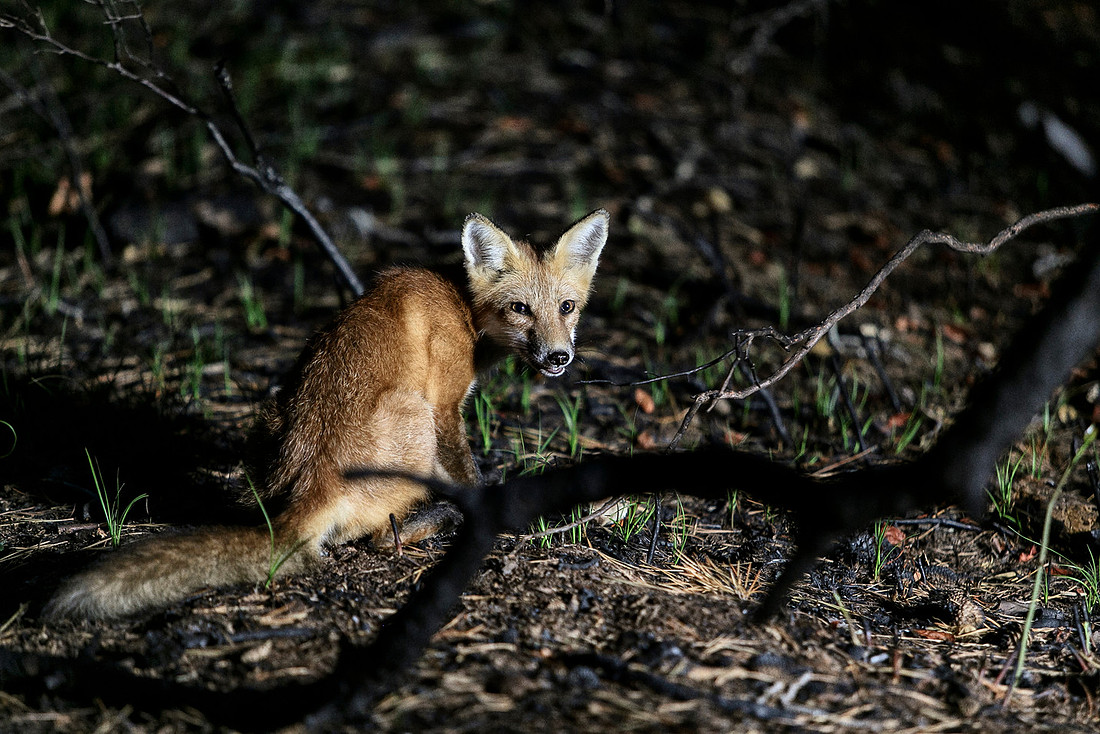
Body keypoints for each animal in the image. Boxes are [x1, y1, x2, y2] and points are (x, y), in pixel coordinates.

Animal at [45, 209, 609, 620]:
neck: (463, 310)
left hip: (272, 411)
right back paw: (437, 519)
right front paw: (490, 516)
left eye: (567, 307)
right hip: (415, 419)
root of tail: (314, 483)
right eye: (520, 308)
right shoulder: (445, 408)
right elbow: (469, 477)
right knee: (379, 538)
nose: (559, 357)